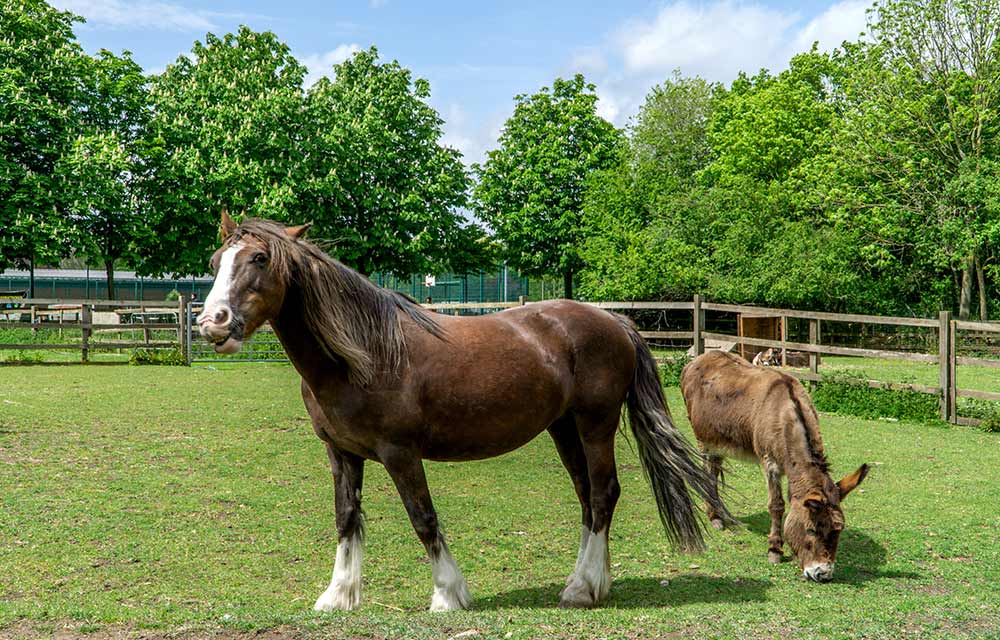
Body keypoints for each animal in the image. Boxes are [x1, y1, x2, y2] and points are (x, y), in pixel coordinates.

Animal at [195, 214, 732, 608]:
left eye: (260, 257)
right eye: (217, 260)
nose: (213, 323)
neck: (363, 355)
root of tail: (613, 320)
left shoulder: (400, 454)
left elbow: (423, 518)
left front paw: (448, 594)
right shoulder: (341, 454)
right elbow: (346, 517)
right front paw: (338, 596)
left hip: (594, 424)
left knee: (603, 495)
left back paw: (583, 590)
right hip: (563, 429)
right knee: (585, 497)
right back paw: (586, 582)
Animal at [680, 352, 868, 584]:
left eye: (838, 531)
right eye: (811, 530)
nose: (823, 574)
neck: (786, 414)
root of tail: (701, 358)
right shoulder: (770, 463)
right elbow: (777, 505)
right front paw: (775, 550)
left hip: (718, 442)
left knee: (713, 473)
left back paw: (719, 514)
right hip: (703, 441)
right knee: (707, 475)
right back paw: (715, 518)